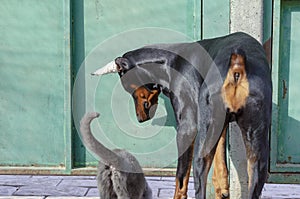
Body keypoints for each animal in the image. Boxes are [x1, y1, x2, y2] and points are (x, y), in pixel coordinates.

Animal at [92, 32, 274, 199]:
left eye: (129, 86)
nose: (140, 118)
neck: (169, 62)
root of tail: (237, 65)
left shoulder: (188, 127)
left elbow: (180, 178)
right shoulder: (218, 126)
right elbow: (220, 159)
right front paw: (222, 188)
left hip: (200, 146)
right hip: (257, 146)